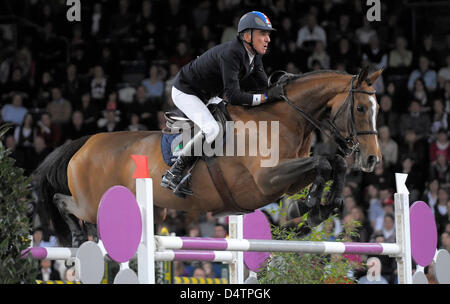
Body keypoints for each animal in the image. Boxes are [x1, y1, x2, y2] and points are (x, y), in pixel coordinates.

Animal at [33, 67, 382, 246]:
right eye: (360, 108)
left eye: (377, 108)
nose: (372, 160)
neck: (284, 118)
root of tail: (85, 143)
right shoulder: (266, 181)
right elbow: (324, 162)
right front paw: (309, 206)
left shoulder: (286, 178)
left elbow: (334, 164)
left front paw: (323, 207)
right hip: (93, 204)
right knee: (65, 202)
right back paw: (78, 235)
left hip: (155, 211)